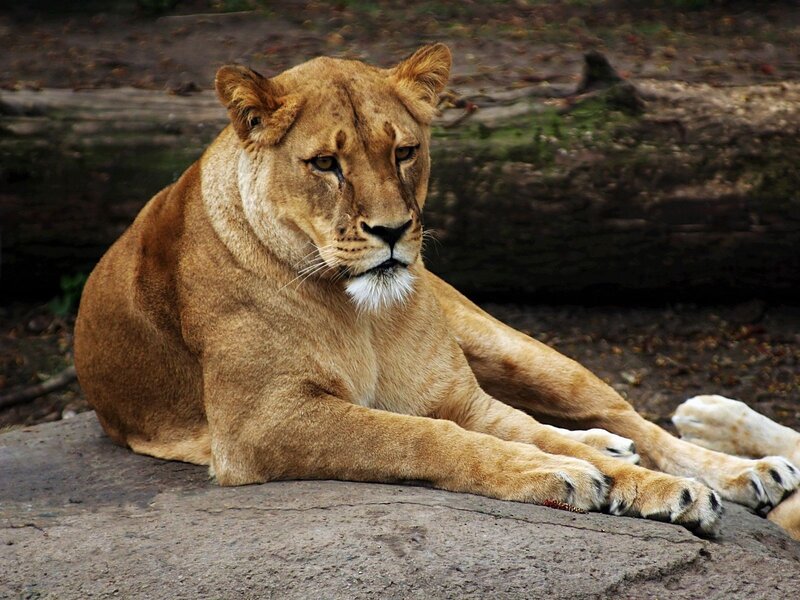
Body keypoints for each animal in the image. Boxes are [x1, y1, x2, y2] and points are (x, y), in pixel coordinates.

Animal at [74, 44, 799, 536]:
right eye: (326, 163)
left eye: (404, 151)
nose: (393, 231)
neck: (361, 314)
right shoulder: (260, 423)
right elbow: (425, 437)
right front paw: (564, 474)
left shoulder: (456, 396)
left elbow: (508, 431)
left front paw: (655, 485)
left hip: (514, 347)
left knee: (632, 418)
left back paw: (745, 470)